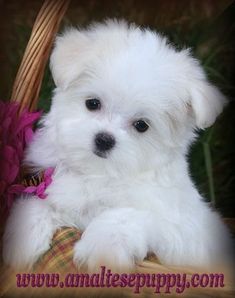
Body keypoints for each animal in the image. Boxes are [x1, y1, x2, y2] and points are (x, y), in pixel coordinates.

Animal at [2, 19, 232, 272]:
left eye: (141, 125)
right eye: (92, 103)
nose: (104, 139)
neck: (100, 173)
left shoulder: (179, 230)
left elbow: (126, 215)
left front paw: (101, 251)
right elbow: (39, 203)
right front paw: (22, 236)